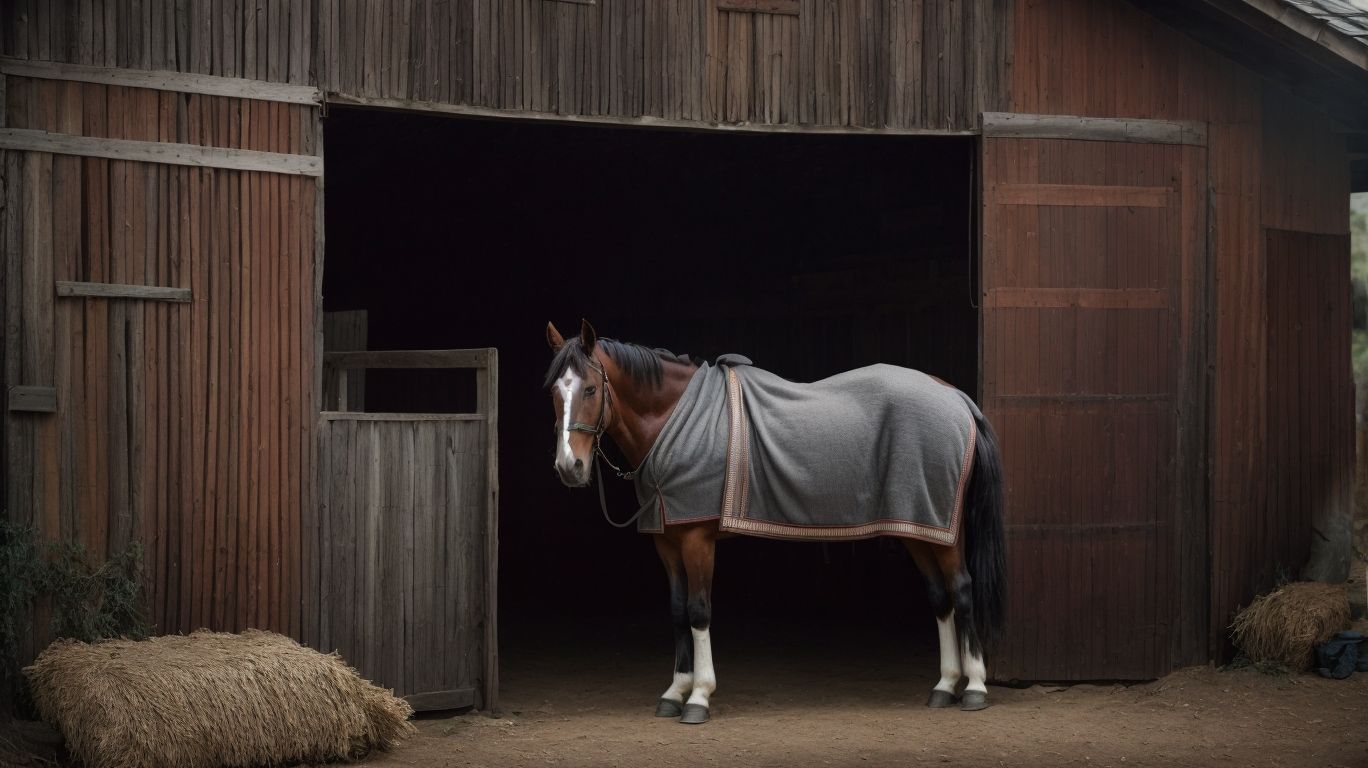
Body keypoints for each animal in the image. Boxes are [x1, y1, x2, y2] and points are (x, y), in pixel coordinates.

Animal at [545, 319, 1006, 725]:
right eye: (554, 391)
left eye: (590, 388)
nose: (570, 467)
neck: (675, 419)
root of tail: (955, 397)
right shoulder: (668, 540)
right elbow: (676, 611)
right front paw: (674, 692)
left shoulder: (697, 538)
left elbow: (698, 611)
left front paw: (699, 697)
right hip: (917, 526)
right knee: (940, 597)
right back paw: (944, 687)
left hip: (944, 531)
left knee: (961, 589)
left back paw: (975, 689)